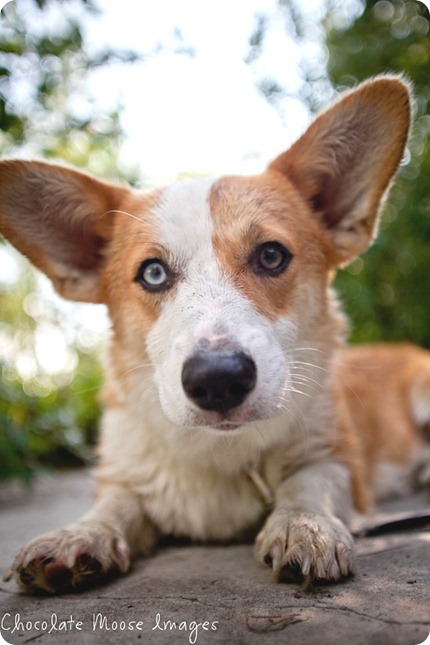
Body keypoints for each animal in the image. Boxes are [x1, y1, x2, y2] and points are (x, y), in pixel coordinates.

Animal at [1, 73, 428, 592]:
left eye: (271, 256)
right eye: (153, 273)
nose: (218, 379)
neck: (220, 453)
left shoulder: (338, 461)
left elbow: (307, 482)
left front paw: (303, 524)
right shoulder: (122, 473)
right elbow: (115, 502)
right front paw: (79, 534)